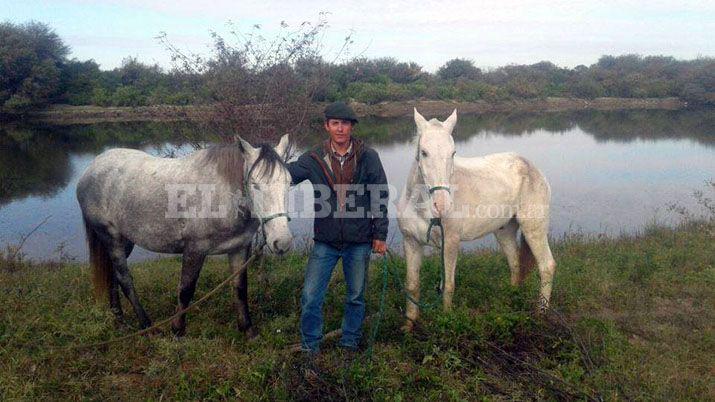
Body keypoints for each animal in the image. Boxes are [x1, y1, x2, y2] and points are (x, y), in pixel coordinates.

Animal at [76, 134, 293, 337]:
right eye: (254, 184)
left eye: (289, 182)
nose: (282, 242)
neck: (218, 196)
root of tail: (92, 168)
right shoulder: (194, 250)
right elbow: (186, 290)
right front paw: (177, 331)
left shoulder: (239, 248)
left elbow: (240, 288)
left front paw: (248, 330)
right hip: (111, 238)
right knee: (124, 279)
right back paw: (147, 326)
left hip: (125, 241)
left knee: (112, 275)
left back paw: (119, 319)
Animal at [397, 109, 556, 332]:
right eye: (424, 152)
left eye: (453, 153)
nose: (442, 205)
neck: (421, 206)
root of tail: (531, 167)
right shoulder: (411, 242)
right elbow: (412, 285)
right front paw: (409, 325)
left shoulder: (450, 244)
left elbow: (448, 286)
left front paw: (446, 321)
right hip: (504, 231)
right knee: (515, 264)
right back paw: (511, 298)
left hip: (534, 229)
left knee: (547, 266)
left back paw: (541, 313)